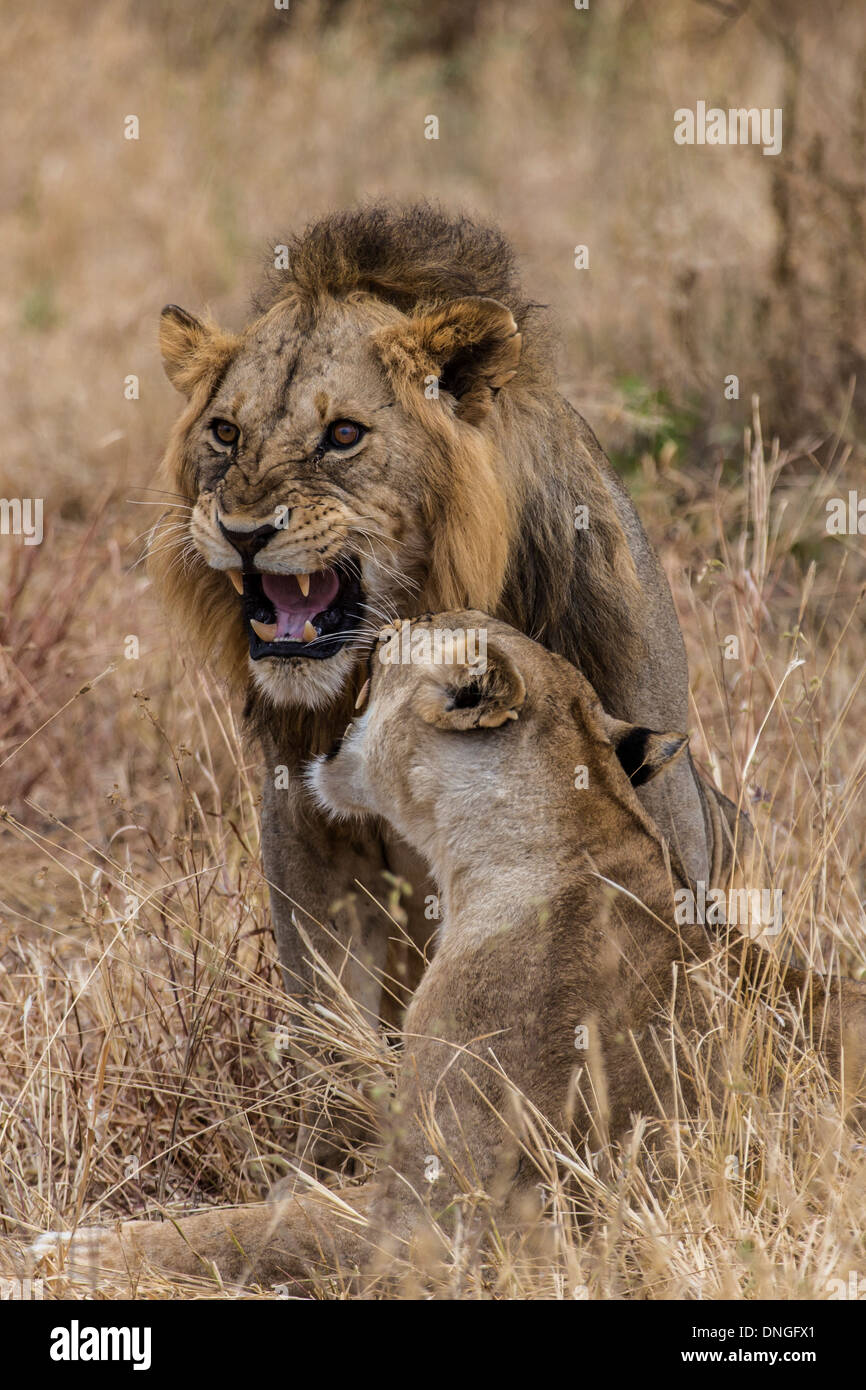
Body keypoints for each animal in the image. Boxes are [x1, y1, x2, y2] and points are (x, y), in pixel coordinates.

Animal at [148, 203, 758, 1167]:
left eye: (344, 435)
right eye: (225, 433)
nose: (242, 532)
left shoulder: (653, 806)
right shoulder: (303, 828)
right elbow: (326, 1017)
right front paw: (329, 1149)